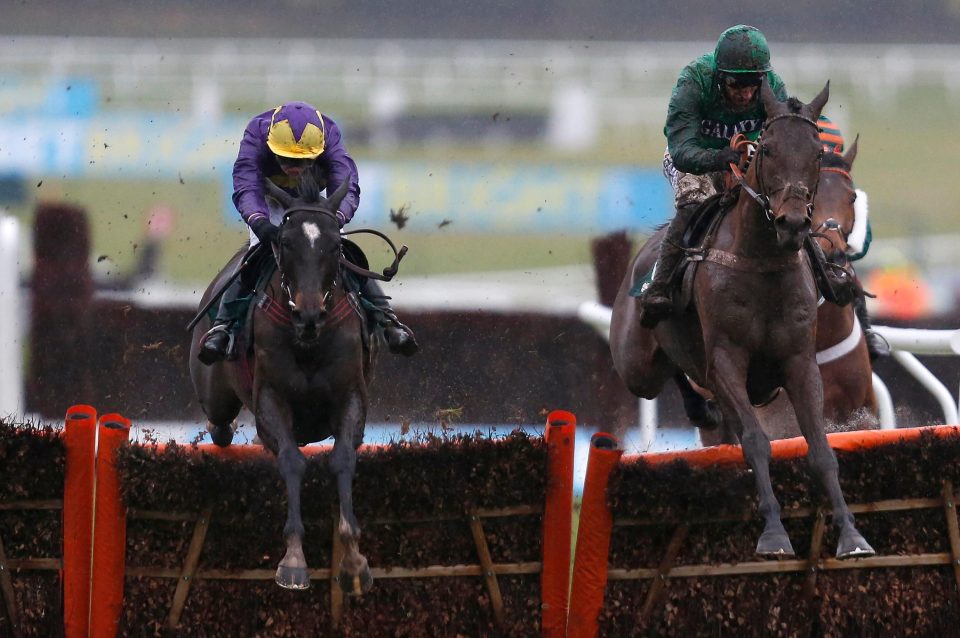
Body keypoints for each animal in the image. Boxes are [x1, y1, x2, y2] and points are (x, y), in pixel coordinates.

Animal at [188, 176, 378, 596]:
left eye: (335, 244)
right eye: (286, 242)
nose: (309, 313)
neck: (308, 341)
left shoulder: (351, 396)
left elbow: (343, 457)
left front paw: (354, 559)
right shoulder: (270, 402)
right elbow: (291, 460)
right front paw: (293, 561)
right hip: (216, 395)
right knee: (220, 425)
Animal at [612, 82, 872, 564]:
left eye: (815, 152)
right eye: (766, 149)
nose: (794, 222)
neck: (762, 260)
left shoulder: (800, 362)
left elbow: (821, 447)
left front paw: (851, 535)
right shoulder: (728, 360)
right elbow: (756, 442)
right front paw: (773, 534)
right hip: (637, 366)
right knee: (670, 374)